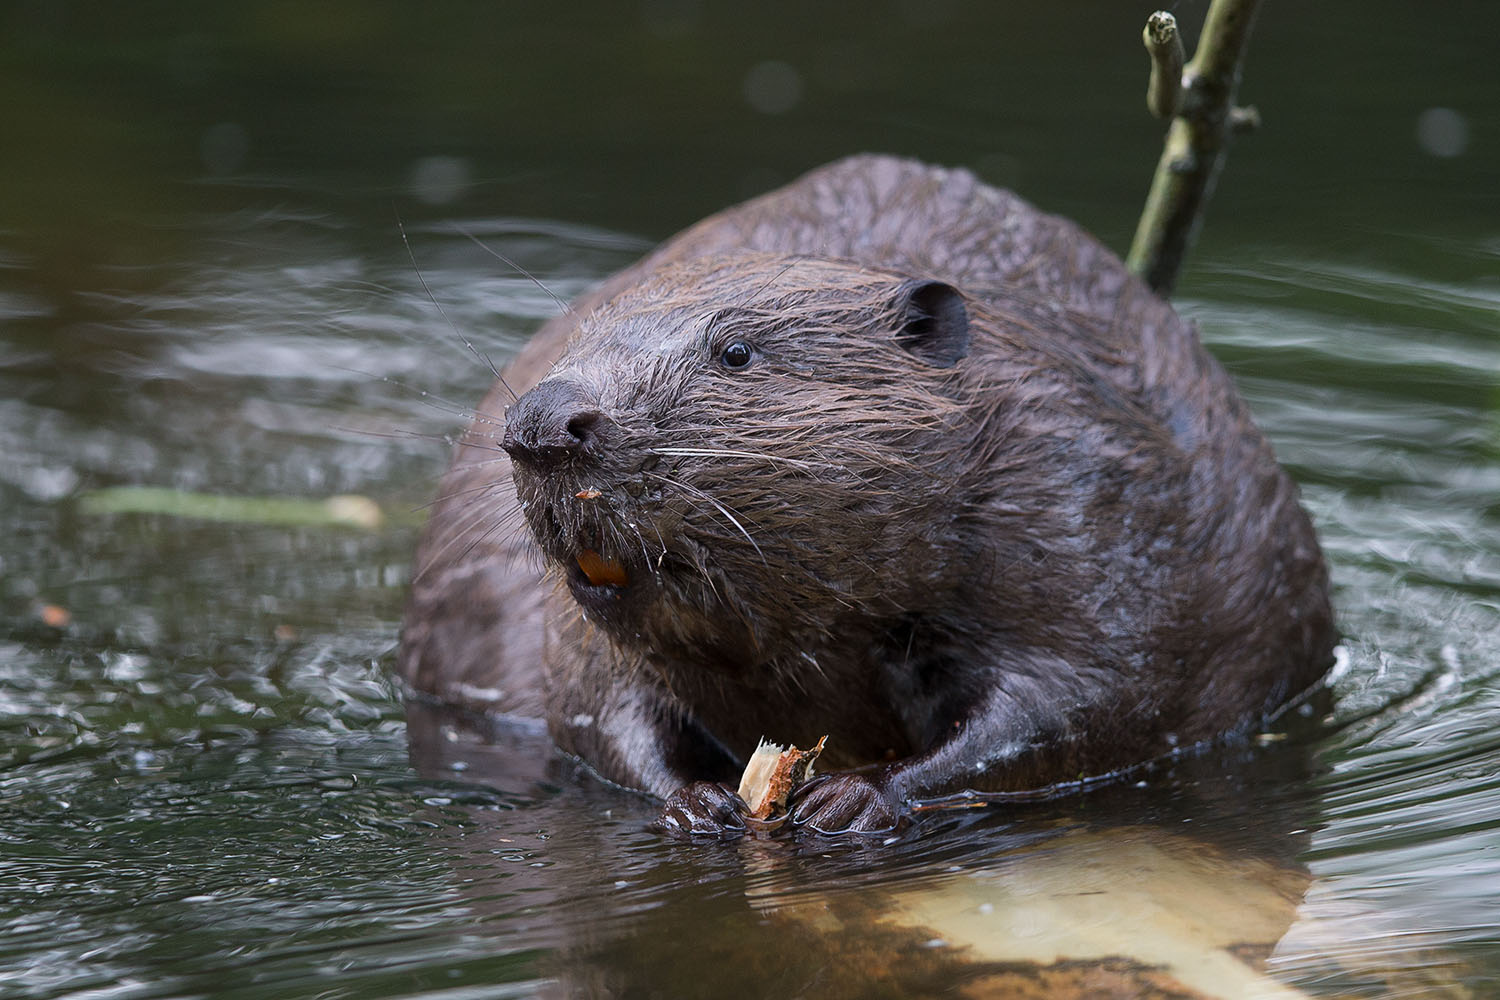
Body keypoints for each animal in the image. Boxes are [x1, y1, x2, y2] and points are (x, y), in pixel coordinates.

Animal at [396, 150, 1338, 839]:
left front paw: (851, 797)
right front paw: (698, 803)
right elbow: (595, 709)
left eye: (736, 350)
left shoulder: (1081, 494)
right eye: (577, 334)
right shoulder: (566, 633)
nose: (542, 424)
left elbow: (1089, 694)